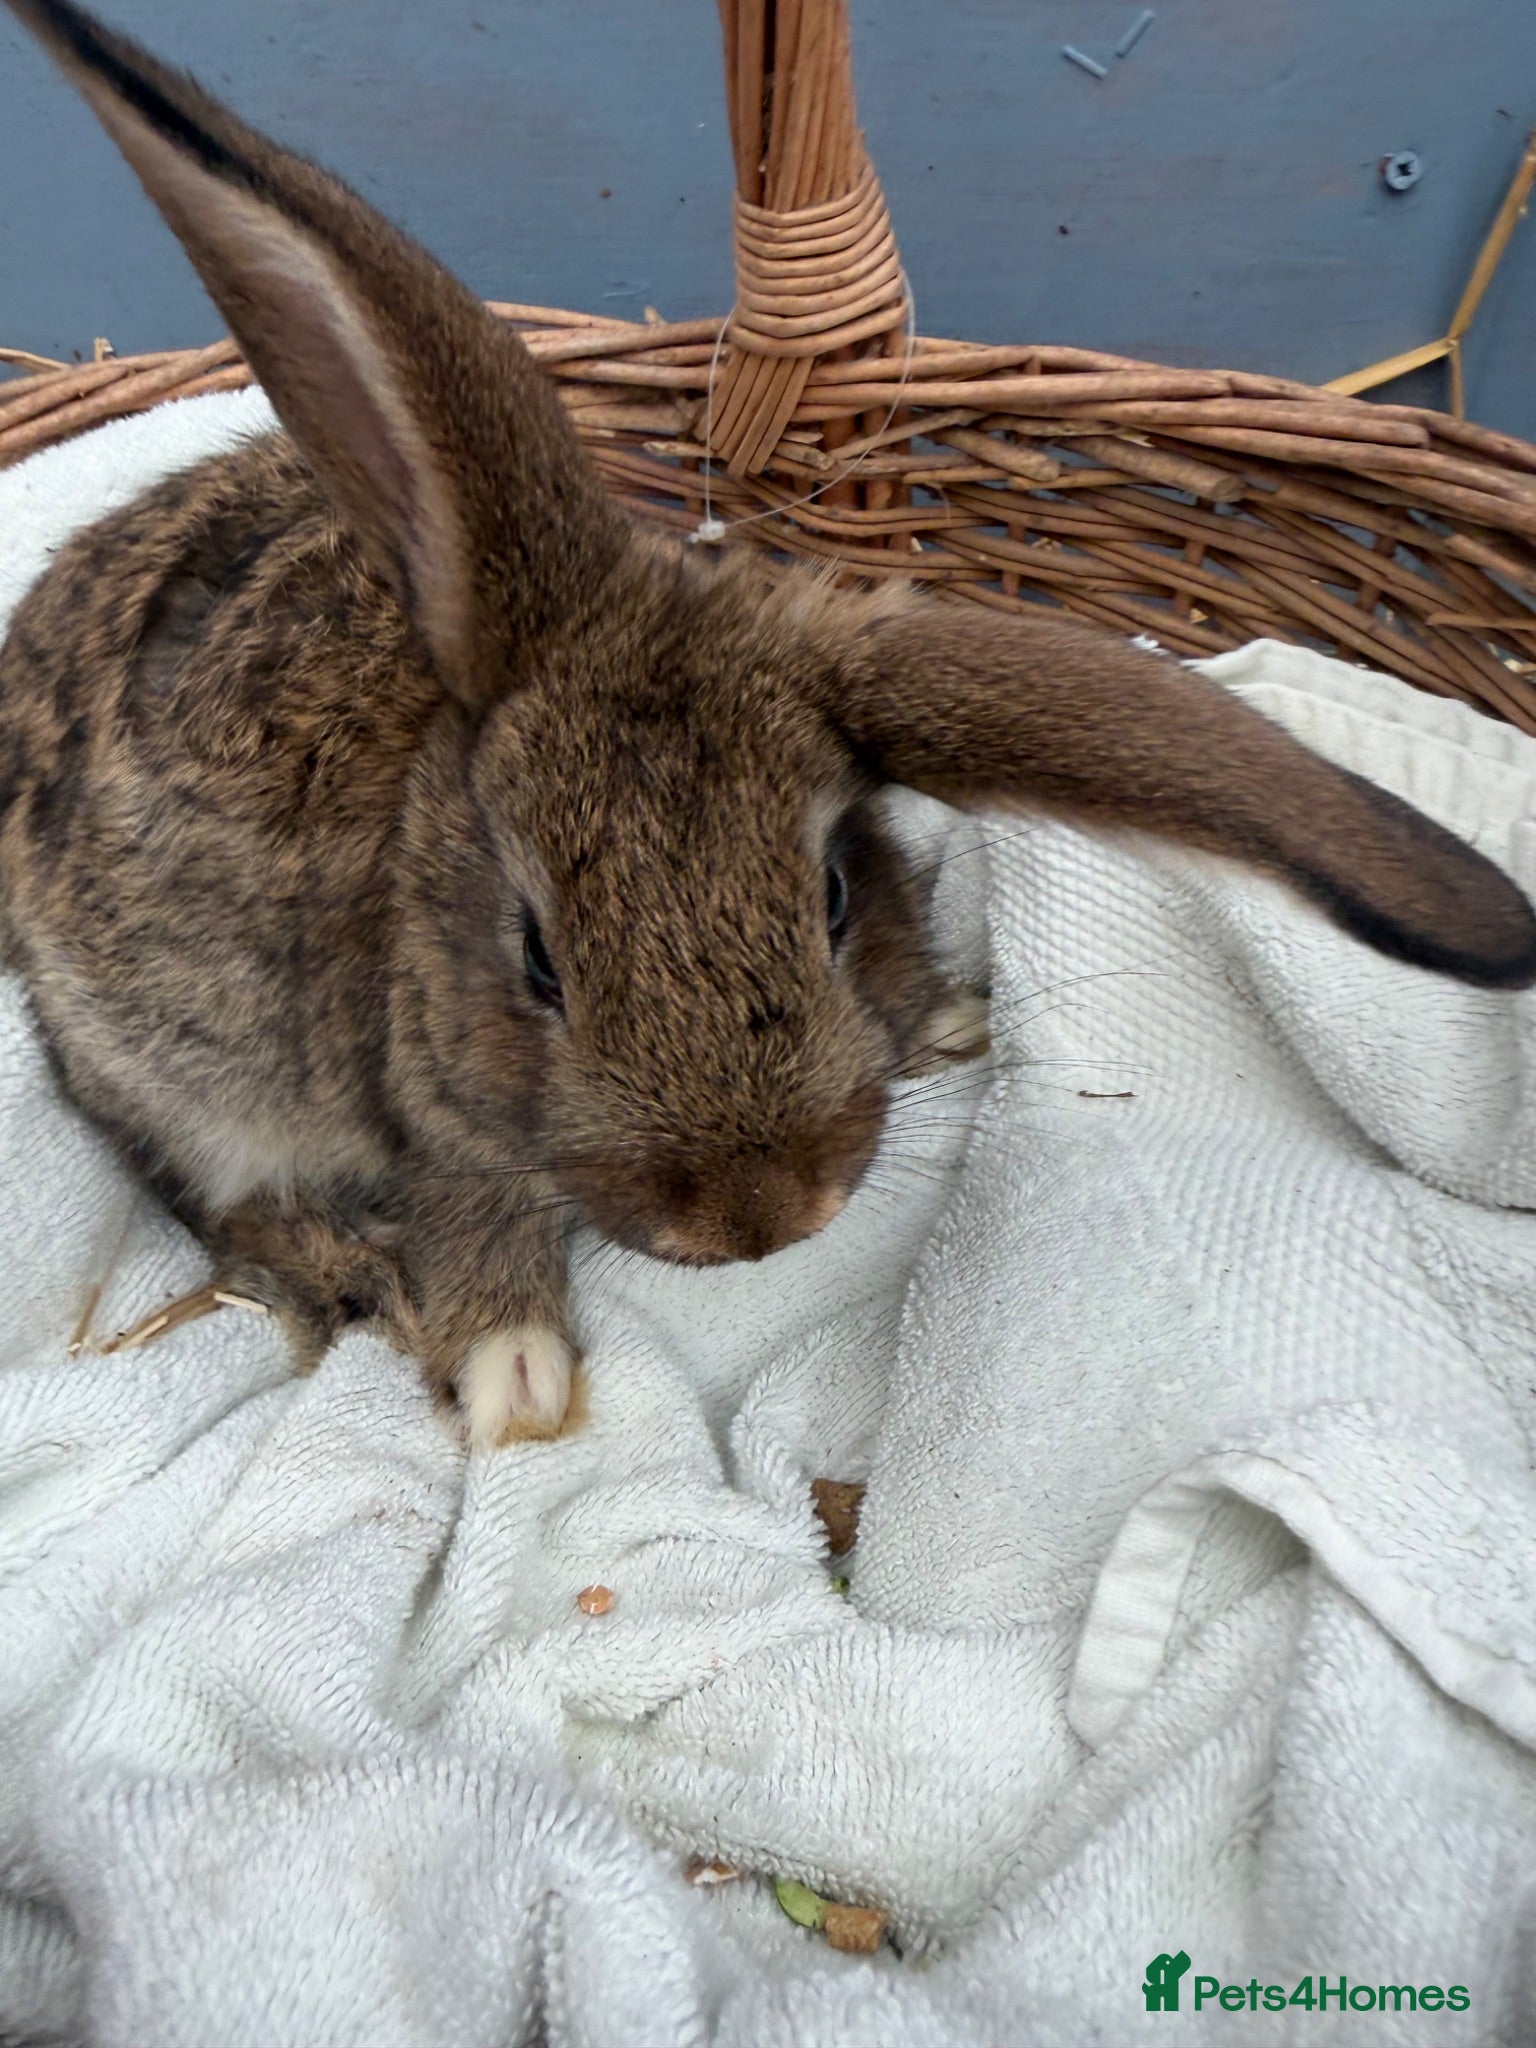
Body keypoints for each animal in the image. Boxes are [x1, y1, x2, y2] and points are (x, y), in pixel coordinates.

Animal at [3, 0, 1534, 1450]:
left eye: (837, 897)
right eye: (538, 962)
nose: (754, 1218)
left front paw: (950, 1015)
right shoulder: (434, 1106)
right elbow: (475, 1208)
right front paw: (514, 1375)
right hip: (157, 1069)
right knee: (202, 1188)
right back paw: (340, 1265)